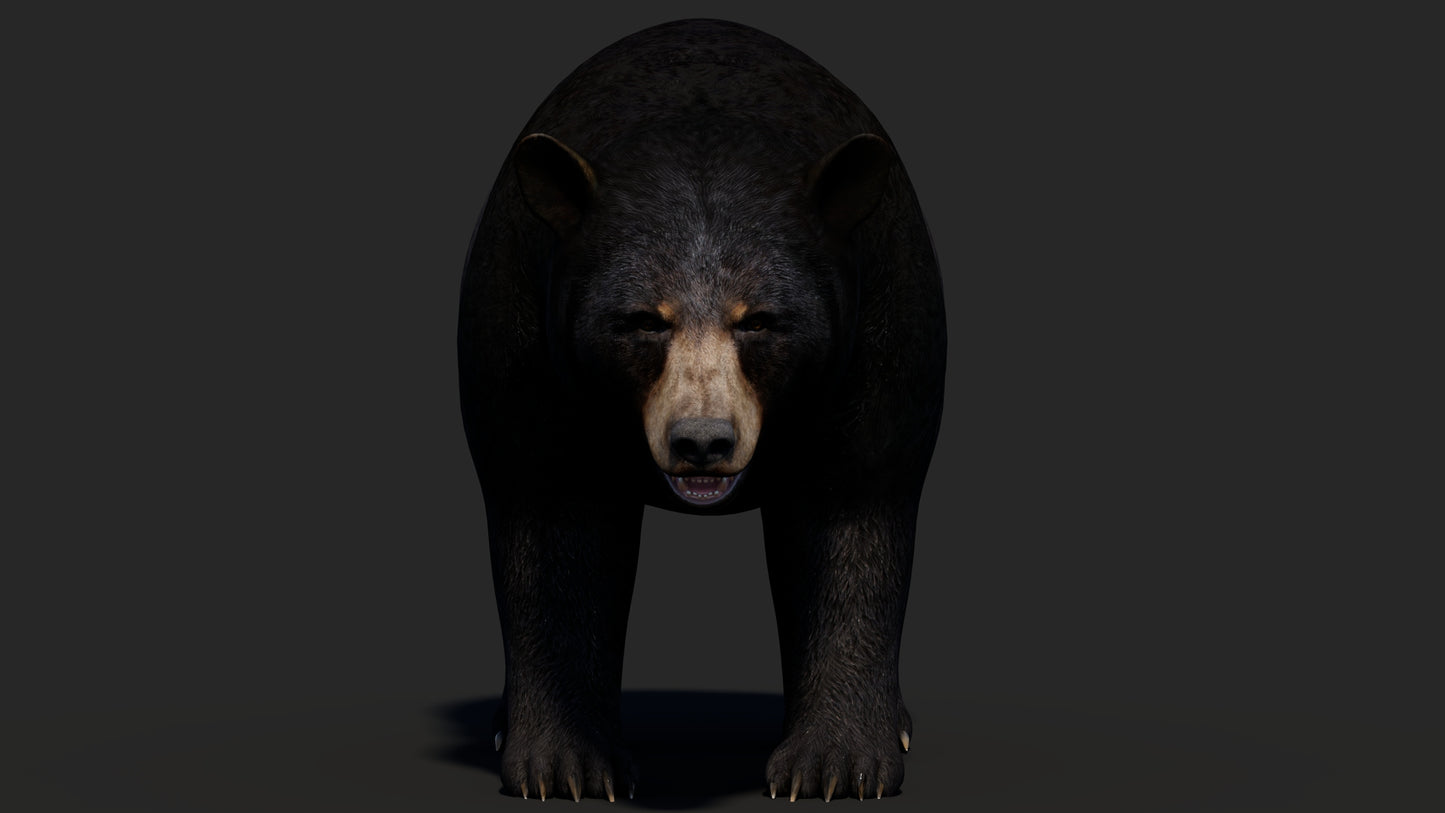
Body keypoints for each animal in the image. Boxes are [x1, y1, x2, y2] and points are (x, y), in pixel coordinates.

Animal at [457, 18, 946, 802]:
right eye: (640, 320)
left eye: (763, 320)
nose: (702, 441)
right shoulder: (521, 332)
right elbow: (552, 523)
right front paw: (565, 766)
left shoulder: (884, 321)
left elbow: (854, 511)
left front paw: (836, 765)